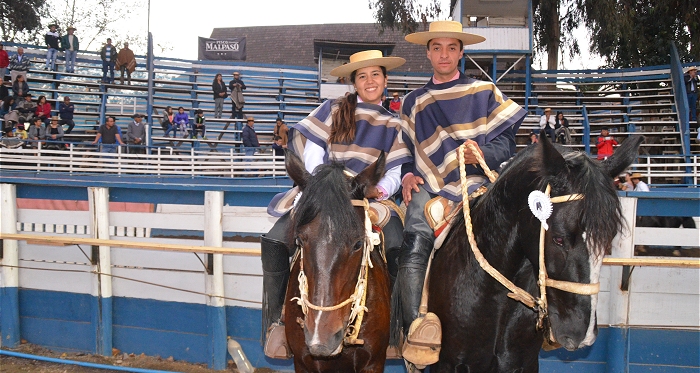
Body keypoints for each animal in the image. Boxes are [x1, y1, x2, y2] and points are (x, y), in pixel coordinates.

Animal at [424, 132, 644, 370]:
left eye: (607, 240)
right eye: (558, 238)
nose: (581, 334)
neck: (495, 298)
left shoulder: (523, 363)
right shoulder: (448, 363)